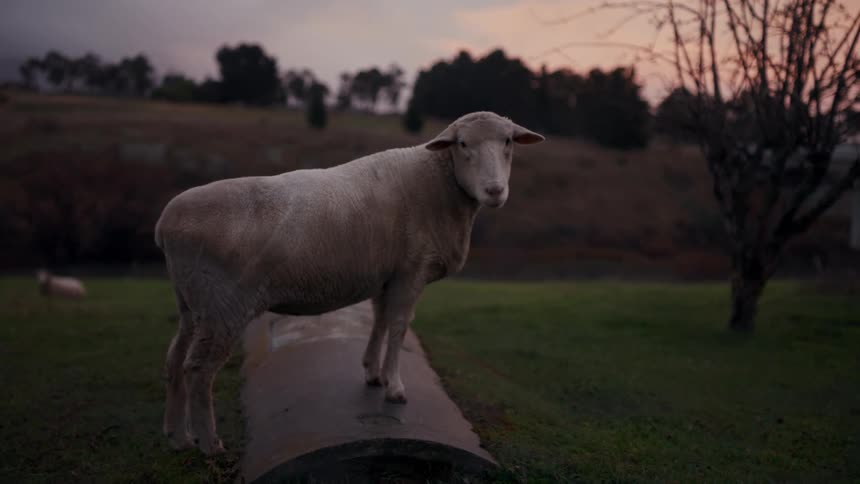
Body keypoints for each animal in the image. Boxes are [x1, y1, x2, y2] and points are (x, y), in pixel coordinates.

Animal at [154, 111, 545, 455]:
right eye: (463, 143)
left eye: (508, 141)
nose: (494, 190)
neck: (439, 183)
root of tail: (165, 224)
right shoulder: (411, 271)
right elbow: (400, 326)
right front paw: (395, 388)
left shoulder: (388, 274)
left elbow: (381, 320)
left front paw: (373, 372)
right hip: (224, 305)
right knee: (199, 370)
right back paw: (209, 444)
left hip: (192, 303)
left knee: (175, 359)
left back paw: (178, 437)